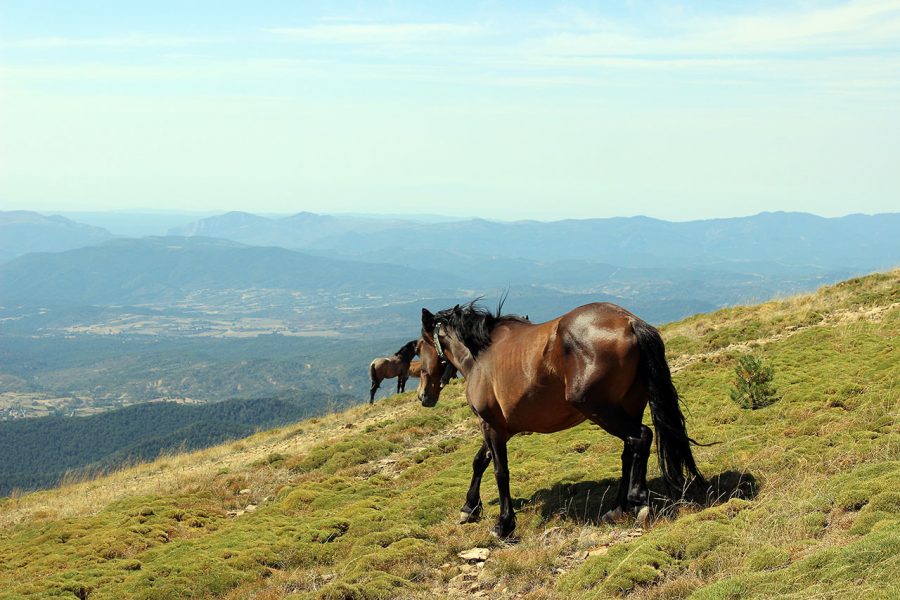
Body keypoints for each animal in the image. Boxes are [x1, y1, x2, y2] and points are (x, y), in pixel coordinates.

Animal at [418, 302, 708, 536]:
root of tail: (630, 322)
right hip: (630, 405)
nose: (423, 395)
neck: (480, 356)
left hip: (599, 408)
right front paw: (469, 507)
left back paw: (638, 502)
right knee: (630, 450)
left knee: (640, 437)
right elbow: (480, 461)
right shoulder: (501, 427)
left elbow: (500, 471)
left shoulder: (490, 425)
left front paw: (504, 524)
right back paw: (617, 509)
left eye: (421, 347)